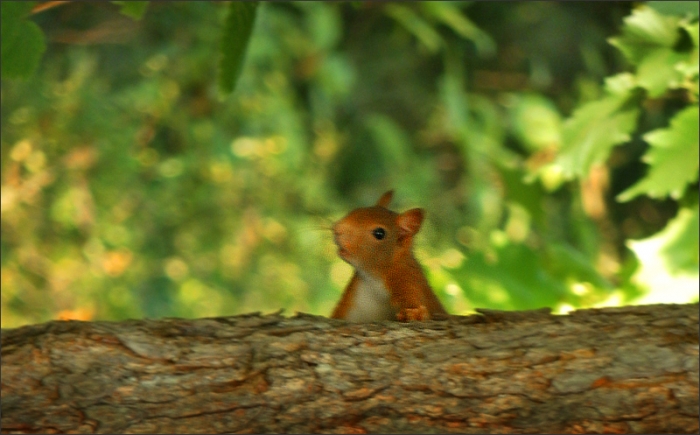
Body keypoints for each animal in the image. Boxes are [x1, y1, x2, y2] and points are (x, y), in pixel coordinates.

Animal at [330, 190, 448, 322]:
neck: (374, 278)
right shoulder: (352, 294)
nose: (338, 229)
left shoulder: (408, 278)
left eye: (379, 233)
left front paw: (414, 313)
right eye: (356, 209)